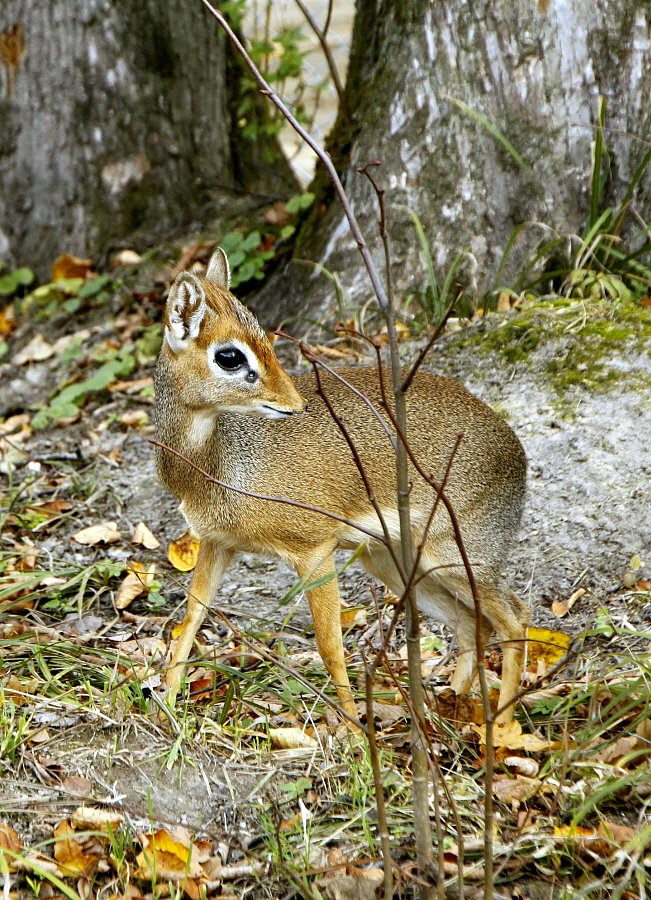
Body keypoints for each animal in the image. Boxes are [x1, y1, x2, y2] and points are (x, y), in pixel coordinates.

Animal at [154, 248, 528, 724]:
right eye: (230, 356)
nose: (294, 404)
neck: (216, 467)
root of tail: (514, 447)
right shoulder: (217, 544)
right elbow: (190, 620)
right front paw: (166, 709)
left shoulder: (314, 550)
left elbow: (330, 647)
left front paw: (351, 730)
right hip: (395, 563)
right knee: (471, 624)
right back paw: (449, 710)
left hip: (460, 560)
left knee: (515, 618)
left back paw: (500, 725)